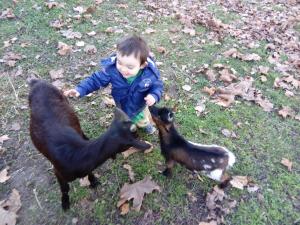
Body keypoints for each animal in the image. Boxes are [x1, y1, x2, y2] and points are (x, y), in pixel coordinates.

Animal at [28, 79, 150, 209]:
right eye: (135, 137)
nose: (146, 143)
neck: (76, 156)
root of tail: (37, 82)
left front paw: (93, 181)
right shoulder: (59, 172)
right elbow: (65, 188)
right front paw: (65, 203)